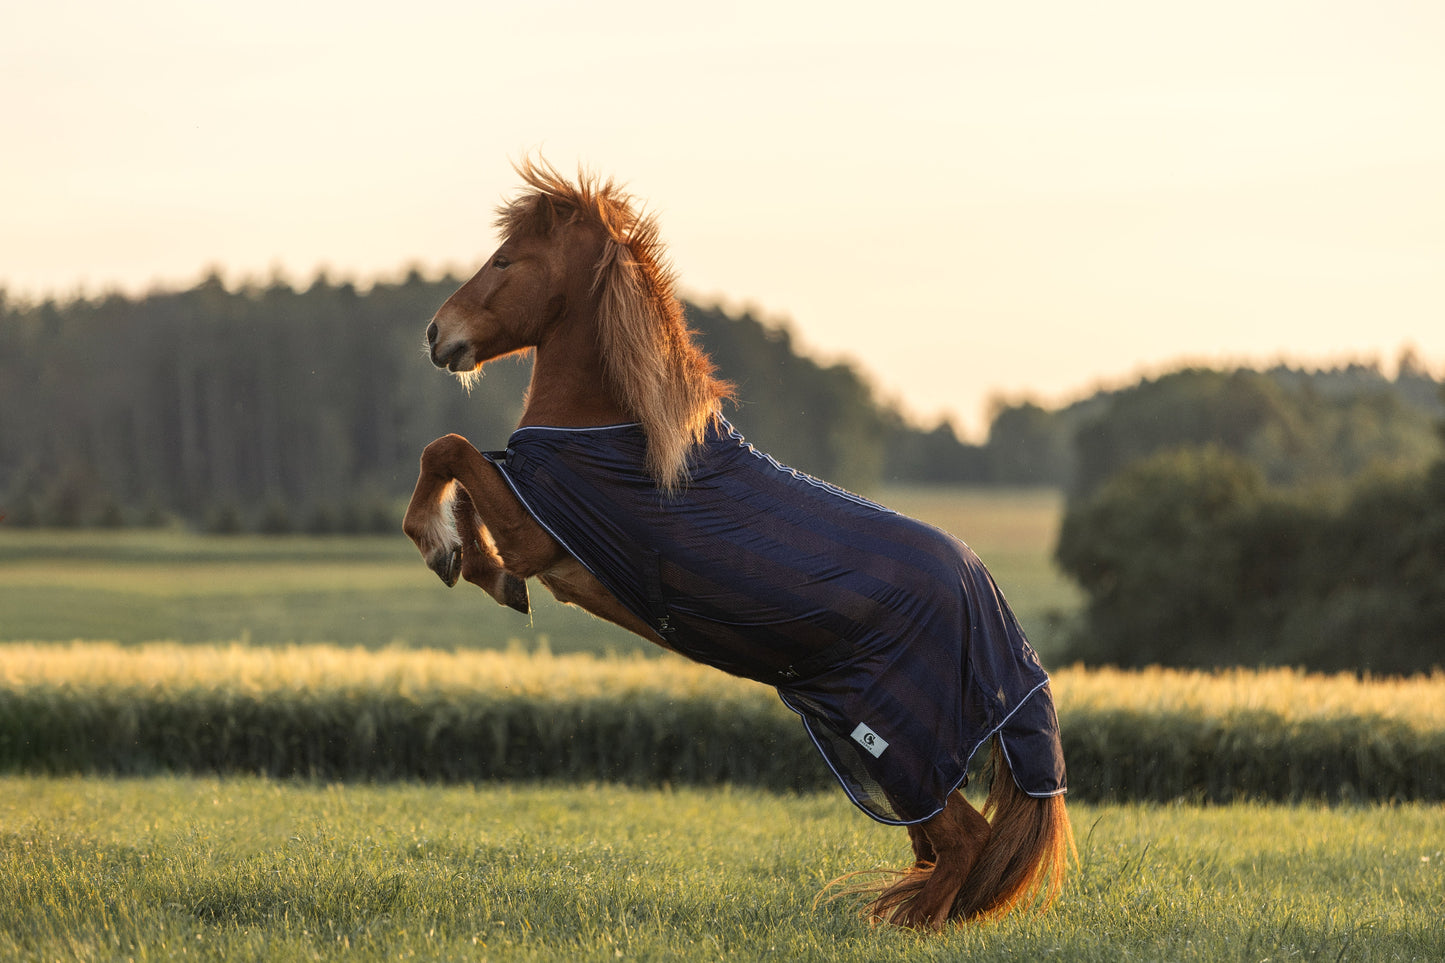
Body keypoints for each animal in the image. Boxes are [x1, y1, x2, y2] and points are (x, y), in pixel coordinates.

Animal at [404, 159, 1075, 931]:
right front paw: (473, 564)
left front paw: (447, 552)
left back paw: (902, 926)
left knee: (962, 841)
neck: (612, 434)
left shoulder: (536, 536)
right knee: (948, 842)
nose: (436, 334)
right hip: (891, 749)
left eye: (505, 261)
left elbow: (448, 450)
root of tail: (993, 613)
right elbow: (460, 467)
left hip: (901, 745)